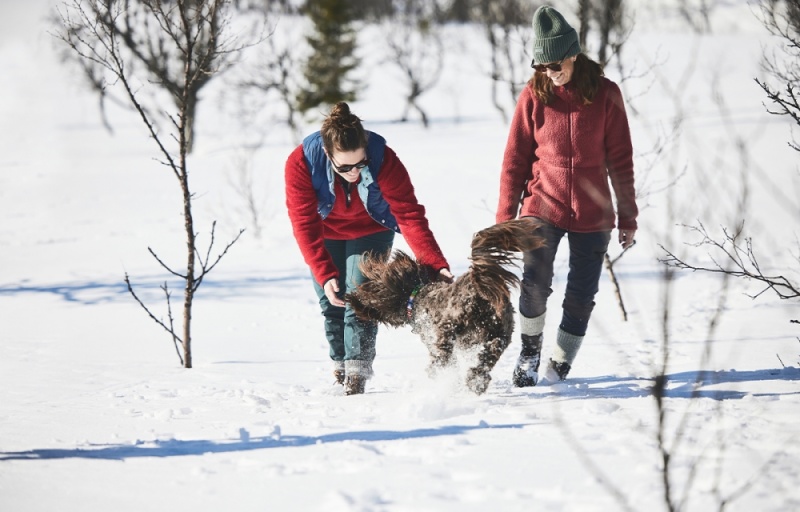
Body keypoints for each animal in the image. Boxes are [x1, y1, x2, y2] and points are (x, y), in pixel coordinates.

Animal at [346, 218, 544, 394]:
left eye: (376, 283)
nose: (356, 294)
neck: (416, 295)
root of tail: (476, 287)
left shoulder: (432, 338)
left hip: (448, 328)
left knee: (445, 355)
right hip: (501, 329)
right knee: (492, 350)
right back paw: (476, 381)